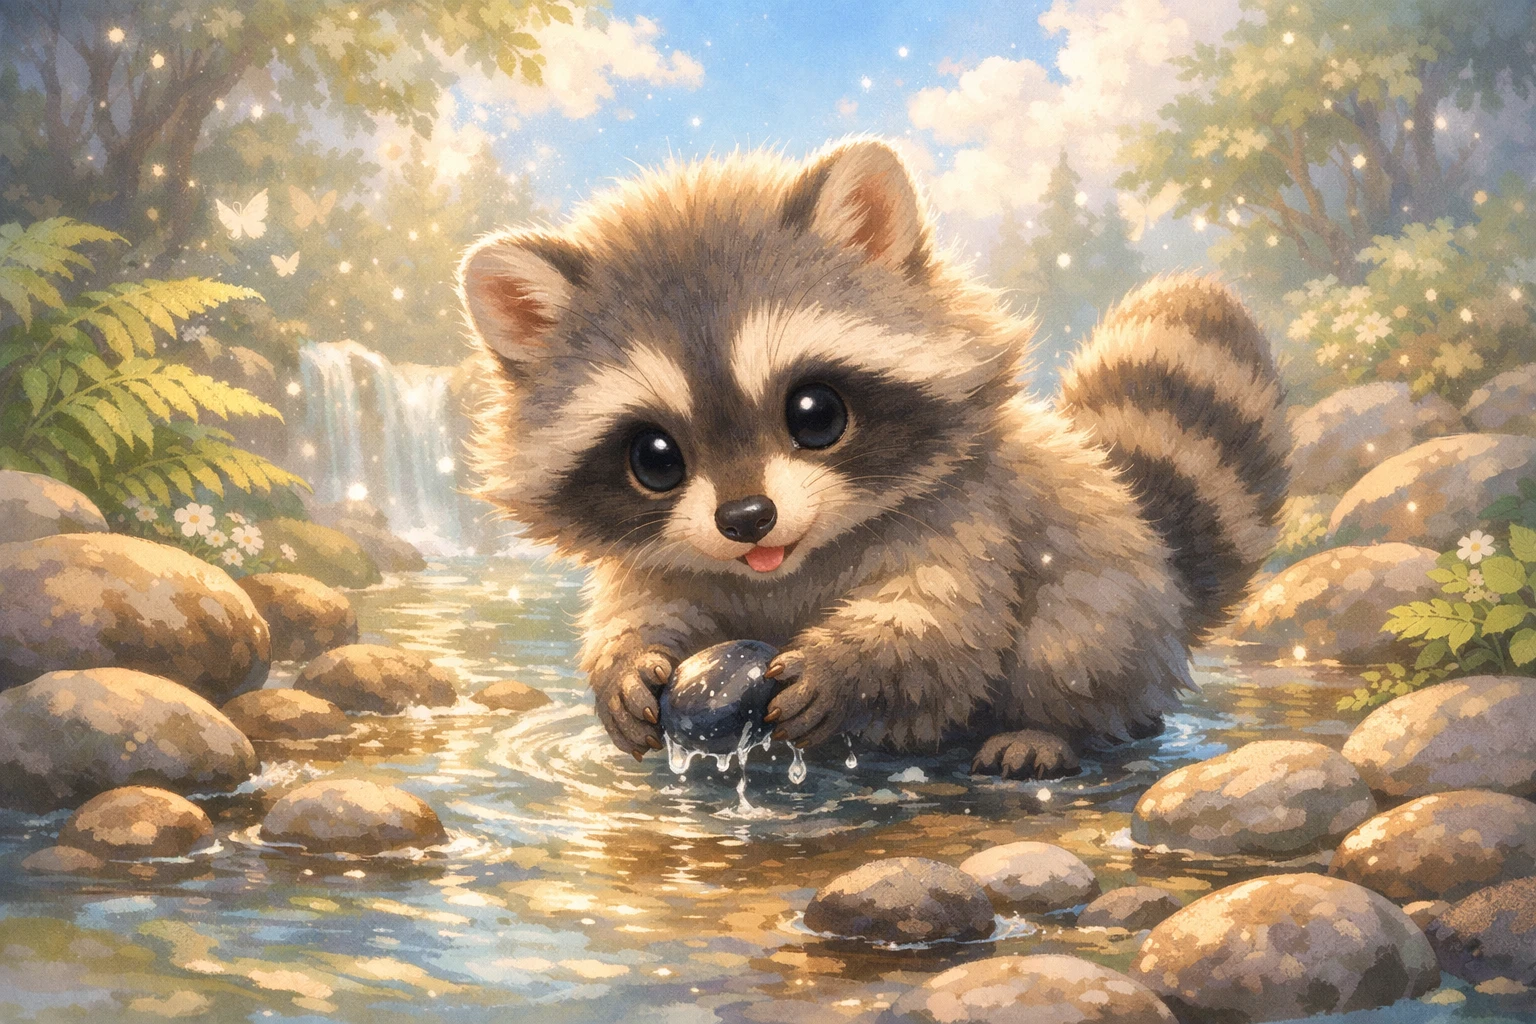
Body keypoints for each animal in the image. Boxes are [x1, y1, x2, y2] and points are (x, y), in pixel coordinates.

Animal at [457, 139, 1288, 779]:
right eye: (655, 459)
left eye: (816, 415)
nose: (747, 518)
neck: (784, 568)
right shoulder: (660, 558)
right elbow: (639, 606)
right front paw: (626, 664)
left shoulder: (969, 514)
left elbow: (941, 622)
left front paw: (850, 664)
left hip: (1112, 590)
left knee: (1075, 633)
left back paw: (1050, 727)